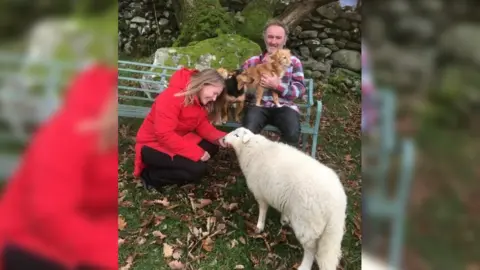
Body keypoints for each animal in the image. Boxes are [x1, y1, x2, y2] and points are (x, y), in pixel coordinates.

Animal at [223, 127, 346, 270]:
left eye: (237, 135)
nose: (223, 139)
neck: (252, 149)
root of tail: (336, 205)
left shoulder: (260, 193)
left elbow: (262, 210)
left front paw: (259, 226)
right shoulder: (281, 196)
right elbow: (284, 208)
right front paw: (284, 219)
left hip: (307, 224)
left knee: (311, 250)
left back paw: (304, 265)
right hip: (330, 231)